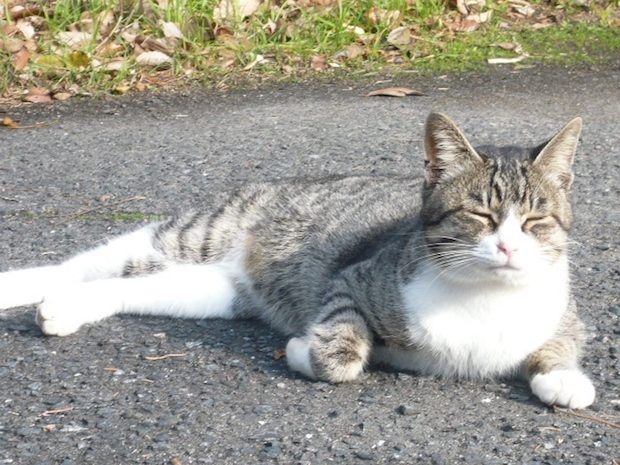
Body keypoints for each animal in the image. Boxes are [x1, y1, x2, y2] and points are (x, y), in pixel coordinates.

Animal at [0, 113, 596, 410]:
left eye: (536, 220)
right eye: (479, 214)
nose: (509, 248)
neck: (485, 297)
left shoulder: (563, 313)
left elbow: (562, 347)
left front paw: (565, 380)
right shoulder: (350, 280)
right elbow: (342, 353)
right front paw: (302, 351)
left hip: (212, 290)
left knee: (122, 285)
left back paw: (67, 307)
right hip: (198, 233)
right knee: (82, 263)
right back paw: (26, 288)